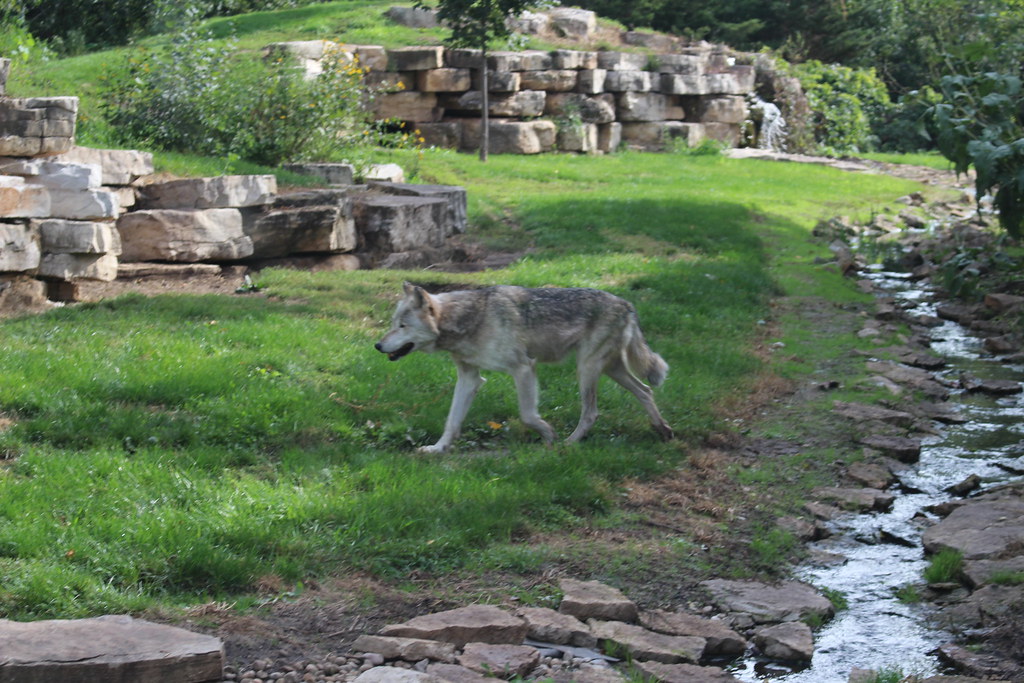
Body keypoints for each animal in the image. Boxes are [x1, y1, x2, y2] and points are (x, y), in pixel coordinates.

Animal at [374, 282, 671, 454]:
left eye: (402, 326)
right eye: (393, 323)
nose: (377, 345)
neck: (470, 320)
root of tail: (627, 305)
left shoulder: (523, 369)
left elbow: (528, 416)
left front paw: (549, 436)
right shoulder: (469, 378)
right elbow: (452, 421)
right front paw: (438, 448)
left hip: (586, 369)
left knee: (591, 412)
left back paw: (569, 444)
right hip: (610, 369)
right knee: (645, 391)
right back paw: (663, 430)